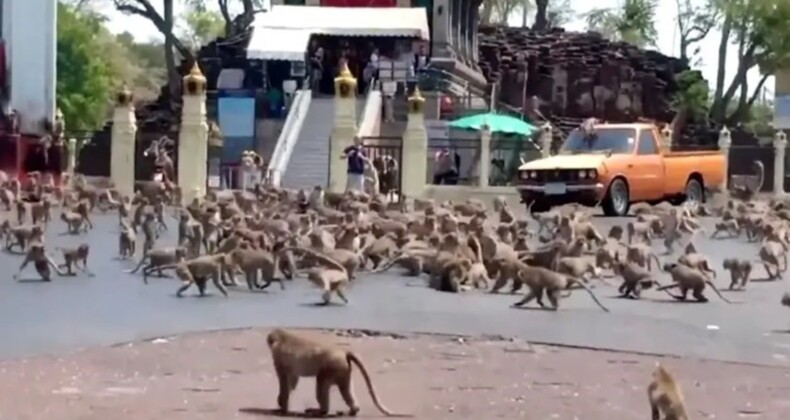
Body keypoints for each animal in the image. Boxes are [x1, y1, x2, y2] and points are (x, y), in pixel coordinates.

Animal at [268, 330, 412, 418]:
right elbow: (292, 379)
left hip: (333, 366)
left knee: (321, 380)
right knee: (344, 389)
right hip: (343, 370)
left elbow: (284, 381)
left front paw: (282, 406)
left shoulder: (278, 357)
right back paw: (353, 410)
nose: (269, 342)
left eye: (270, 340)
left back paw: (321, 411)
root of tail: (343, 352)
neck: (283, 337)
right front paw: (282, 404)